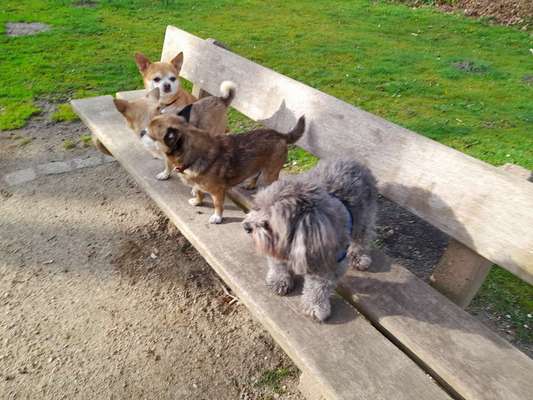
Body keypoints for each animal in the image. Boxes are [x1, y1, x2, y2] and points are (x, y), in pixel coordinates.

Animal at [243, 159, 376, 322]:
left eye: (268, 223)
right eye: (257, 207)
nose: (246, 226)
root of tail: (355, 161)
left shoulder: (326, 262)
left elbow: (318, 287)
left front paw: (315, 306)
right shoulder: (276, 247)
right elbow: (278, 265)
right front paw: (279, 280)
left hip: (363, 219)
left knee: (362, 237)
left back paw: (359, 256)